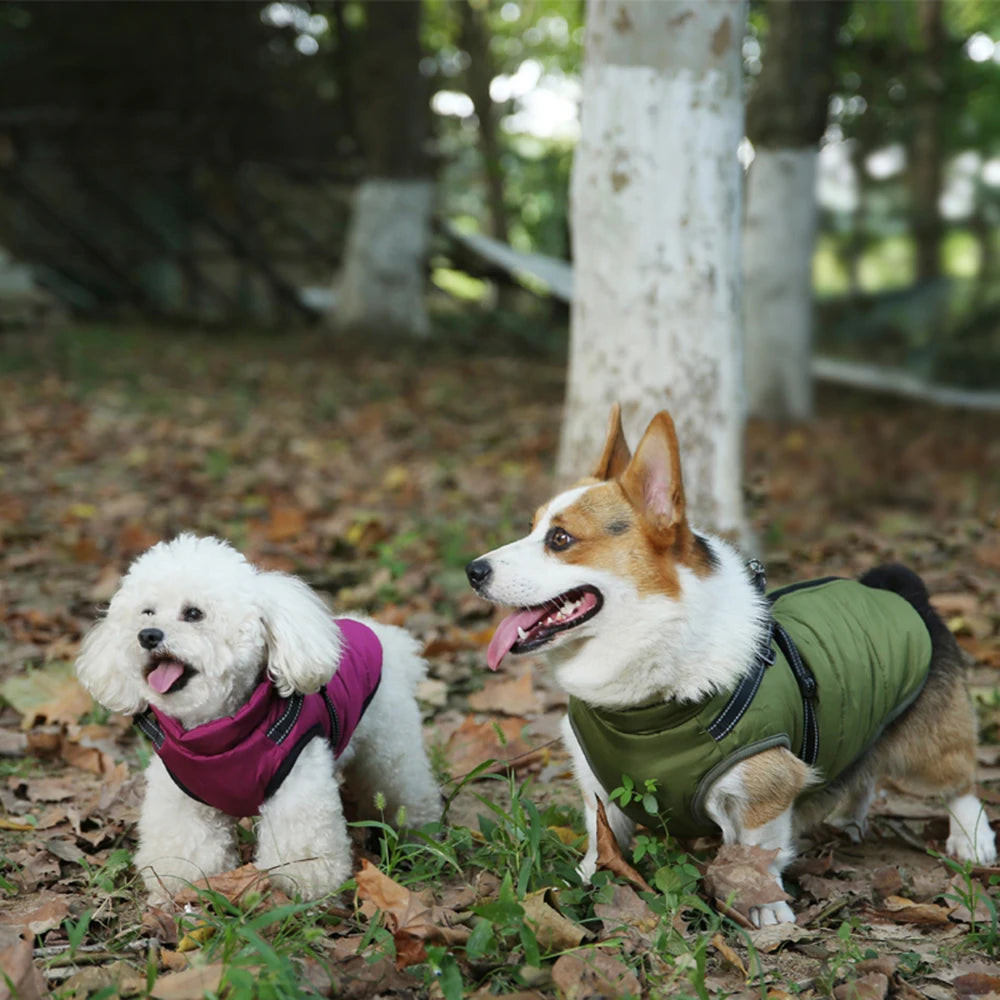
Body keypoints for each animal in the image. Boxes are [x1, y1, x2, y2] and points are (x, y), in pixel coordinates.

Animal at [74, 536, 442, 904]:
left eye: (193, 613)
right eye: (146, 612)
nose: (147, 635)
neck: (218, 737)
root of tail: (385, 636)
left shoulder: (298, 782)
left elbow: (300, 849)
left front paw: (303, 893)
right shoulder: (180, 795)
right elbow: (187, 848)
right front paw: (184, 886)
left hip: (391, 748)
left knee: (406, 792)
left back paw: (420, 836)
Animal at [464, 402, 996, 924]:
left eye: (559, 539)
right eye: (532, 527)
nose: (473, 570)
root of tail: (899, 589)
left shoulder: (765, 789)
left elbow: (756, 851)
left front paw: (766, 906)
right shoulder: (599, 788)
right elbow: (601, 839)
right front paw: (587, 879)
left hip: (930, 744)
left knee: (960, 781)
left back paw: (971, 840)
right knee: (863, 769)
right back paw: (848, 816)